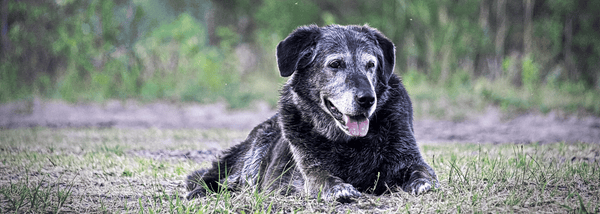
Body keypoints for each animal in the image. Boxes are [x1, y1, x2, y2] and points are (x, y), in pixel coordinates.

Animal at [185, 24, 438, 201]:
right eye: (335, 64)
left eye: (371, 65)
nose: (367, 100)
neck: (348, 143)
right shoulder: (310, 173)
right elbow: (323, 178)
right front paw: (339, 188)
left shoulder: (408, 158)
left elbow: (422, 171)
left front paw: (423, 183)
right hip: (254, 154)